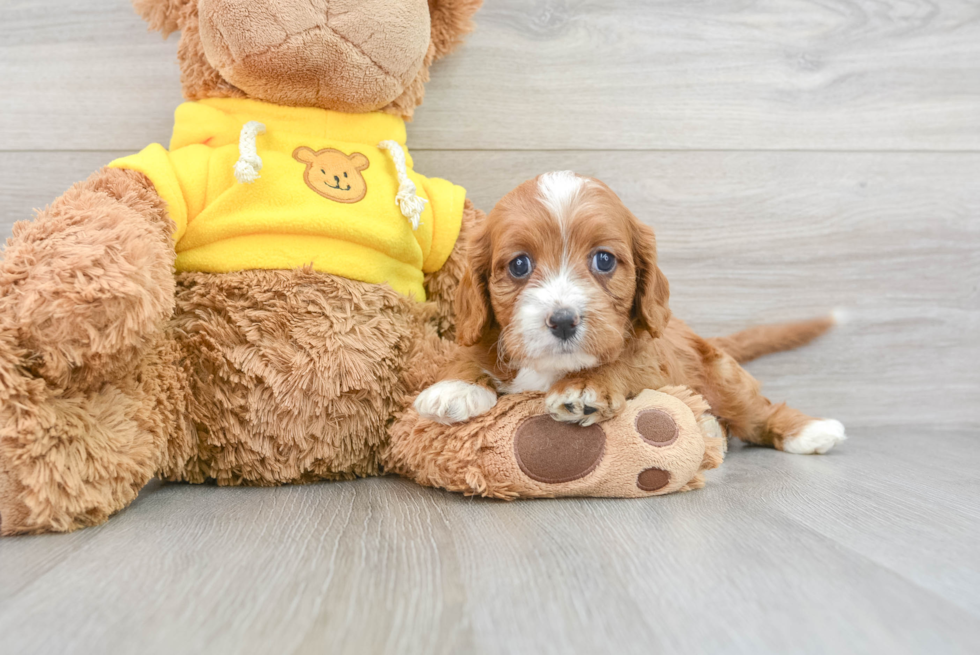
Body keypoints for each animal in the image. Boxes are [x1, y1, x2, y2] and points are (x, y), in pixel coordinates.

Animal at [414, 170, 844, 456]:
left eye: (604, 260)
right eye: (519, 265)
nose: (564, 321)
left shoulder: (653, 360)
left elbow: (624, 361)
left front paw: (585, 387)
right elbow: (473, 353)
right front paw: (455, 387)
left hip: (722, 376)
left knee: (755, 412)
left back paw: (810, 431)